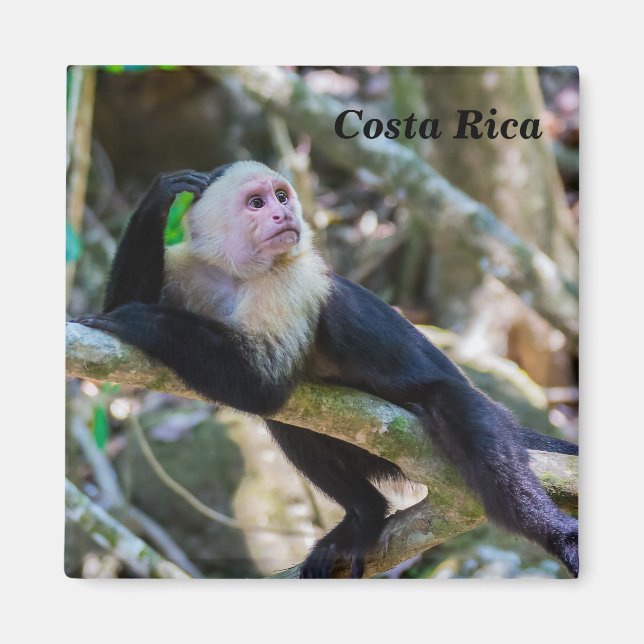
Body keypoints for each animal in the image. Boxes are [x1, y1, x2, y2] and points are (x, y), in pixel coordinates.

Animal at [72, 161, 579, 578]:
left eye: (281, 196)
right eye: (257, 203)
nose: (282, 216)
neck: (239, 276)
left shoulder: (290, 281)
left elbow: (263, 385)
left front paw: (139, 320)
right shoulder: (190, 268)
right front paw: (160, 197)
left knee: (467, 422)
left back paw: (556, 532)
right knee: (293, 426)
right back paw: (365, 515)